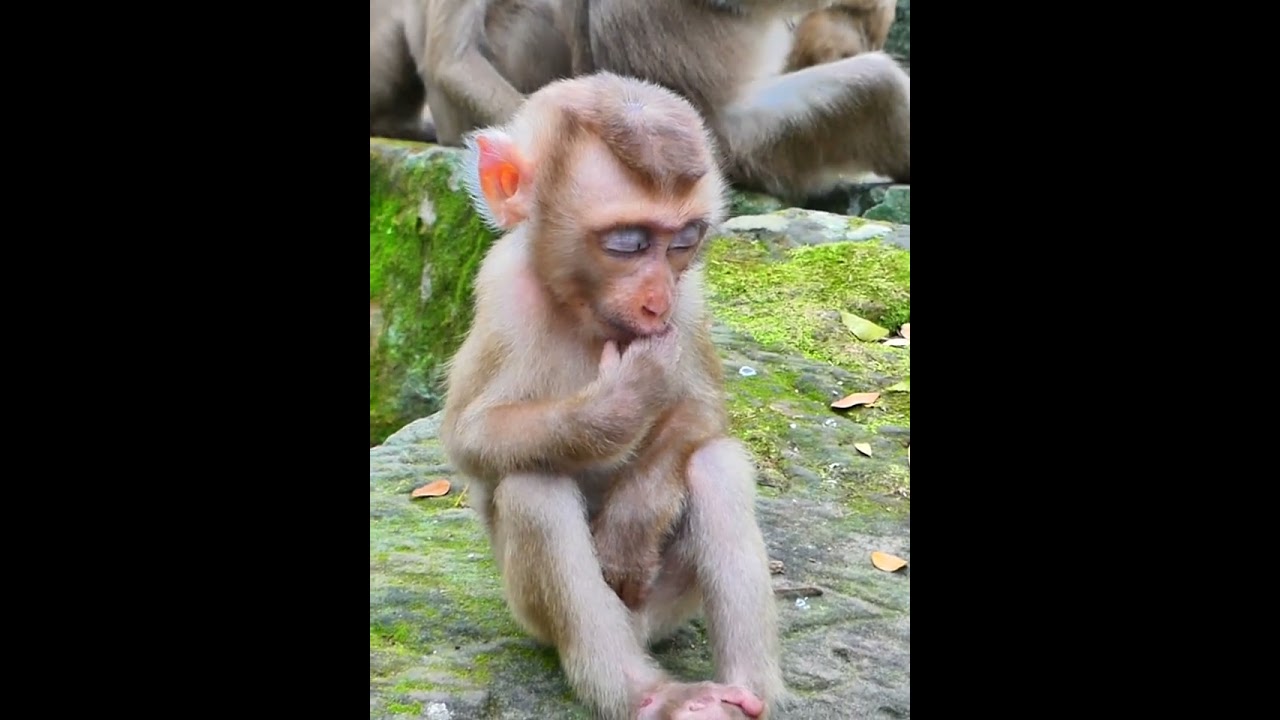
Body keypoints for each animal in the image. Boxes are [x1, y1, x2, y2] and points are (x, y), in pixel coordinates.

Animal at [440, 72, 785, 720]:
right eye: (627, 242)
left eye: (685, 240)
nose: (656, 301)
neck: (583, 312)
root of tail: (639, 634)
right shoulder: (500, 292)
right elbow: (469, 438)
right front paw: (624, 398)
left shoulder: (691, 296)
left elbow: (703, 412)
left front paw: (633, 518)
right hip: (532, 613)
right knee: (533, 488)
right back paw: (647, 694)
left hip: (665, 604)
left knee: (716, 463)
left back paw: (744, 692)